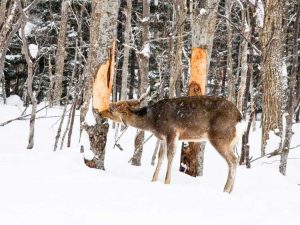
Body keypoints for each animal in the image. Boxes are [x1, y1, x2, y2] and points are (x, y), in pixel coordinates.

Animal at [99, 95, 246, 193]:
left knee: (233, 160)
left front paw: (167, 182)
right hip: (232, 142)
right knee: (234, 161)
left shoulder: (172, 132)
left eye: (111, 109)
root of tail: (241, 119)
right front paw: (153, 180)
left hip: (220, 137)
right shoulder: (162, 138)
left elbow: (170, 157)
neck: (153, 122)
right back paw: (230, 190)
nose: (100, 112)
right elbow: (160, 157)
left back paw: (226, 189)